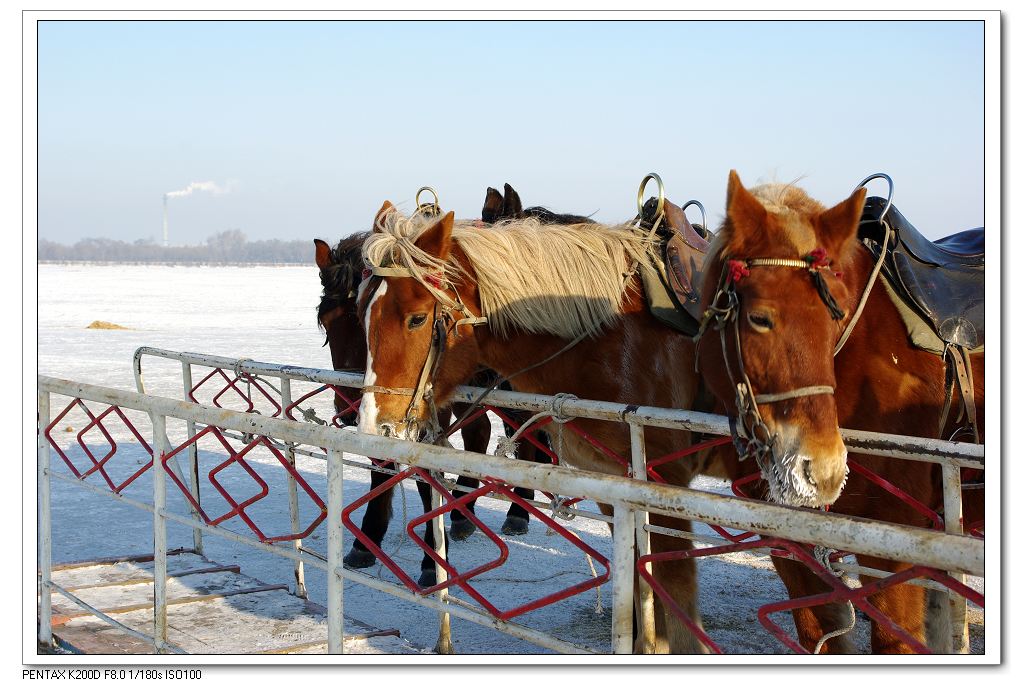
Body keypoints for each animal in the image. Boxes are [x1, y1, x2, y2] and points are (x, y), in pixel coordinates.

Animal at [313, 185, 593, 588]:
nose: (348, 406)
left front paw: (432, 558)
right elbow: (385, 461)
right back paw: (465, 511)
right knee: (484, 432)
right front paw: (367, 538)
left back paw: (514, 509)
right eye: (325, 320)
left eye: (355, 316)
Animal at [356, 202, 724, 654]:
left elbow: (675, 593)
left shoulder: (663, 484)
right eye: (363, 314)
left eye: (417, 319)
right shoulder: (611, 484)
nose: (373, 426)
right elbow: (639, 582)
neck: (609, 334)